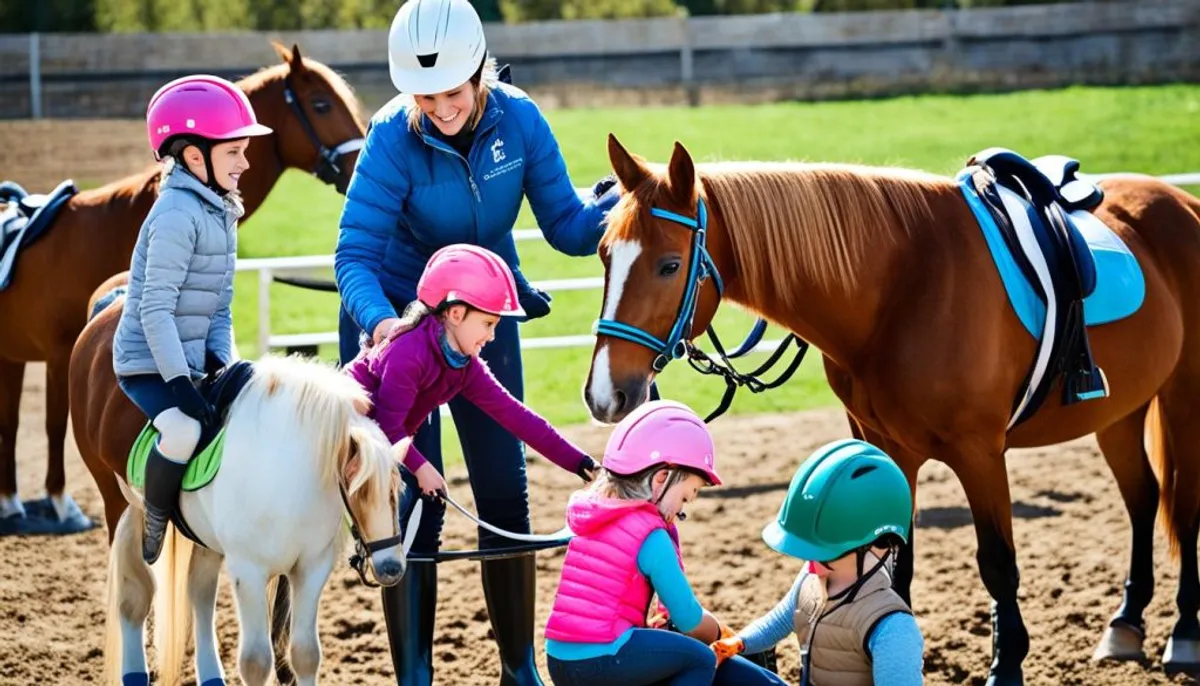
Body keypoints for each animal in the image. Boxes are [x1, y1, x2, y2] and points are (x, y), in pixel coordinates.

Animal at [0, 41, 364, 534]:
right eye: (322, 104)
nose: (359, 165)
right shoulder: (58, 354)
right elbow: (54, 425)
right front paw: (61, 504)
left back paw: (11, 502)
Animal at [100, 352, 408, 686]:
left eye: (396, 492)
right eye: (357, 491)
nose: (391, 568)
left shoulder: (311, 568)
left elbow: (305, 654)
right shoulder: (248, 573)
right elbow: (256, 663)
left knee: (200, 595)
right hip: (126, 512)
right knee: (133, 598)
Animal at [585, 131, 1200, 681]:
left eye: (669, 265)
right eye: (604, 254)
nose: (604, 394)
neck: (903, 288)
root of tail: (1180, 202)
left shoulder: (979, 452)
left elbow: (997, 565)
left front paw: (1006, 668)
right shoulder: (884, 445)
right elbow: (893, 560)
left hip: (1182, 400)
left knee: (1184, 507)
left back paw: (1183, 636)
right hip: (1118, 414)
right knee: (1143, 500)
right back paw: (1125, 625)